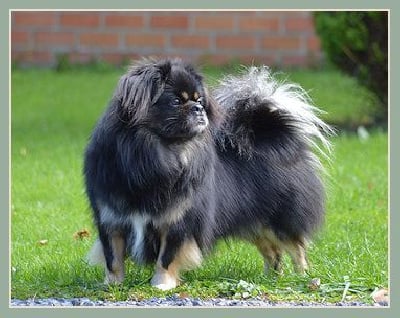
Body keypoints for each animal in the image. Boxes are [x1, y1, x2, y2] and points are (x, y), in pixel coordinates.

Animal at [82, 57, 332, 290]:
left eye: (199, 100)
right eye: (176, 101)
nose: (198, 108)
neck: (154, 156)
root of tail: (277, 135)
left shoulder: (178, 223)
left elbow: (166, 258)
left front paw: (161, 285)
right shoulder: (111, 220)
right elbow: (113, 259)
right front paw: (112, 285)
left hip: (278, 222)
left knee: (296, 247)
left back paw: (303, 277)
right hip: (254, 223)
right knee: (273, 253)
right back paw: (271, 279)